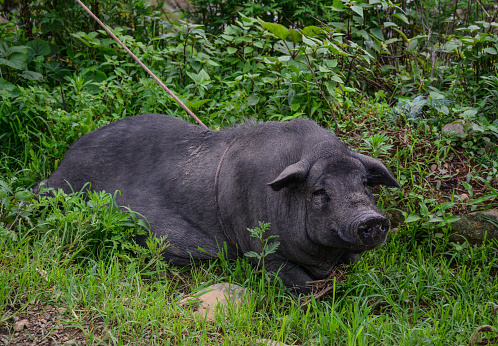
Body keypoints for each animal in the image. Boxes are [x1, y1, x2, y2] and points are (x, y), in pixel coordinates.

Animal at [38, 113, 400, 292]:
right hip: (60, 190)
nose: (370, 219)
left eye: (363, 183)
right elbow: (300, 282)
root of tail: (63, 161)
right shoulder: (259, 248)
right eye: (319, 191)